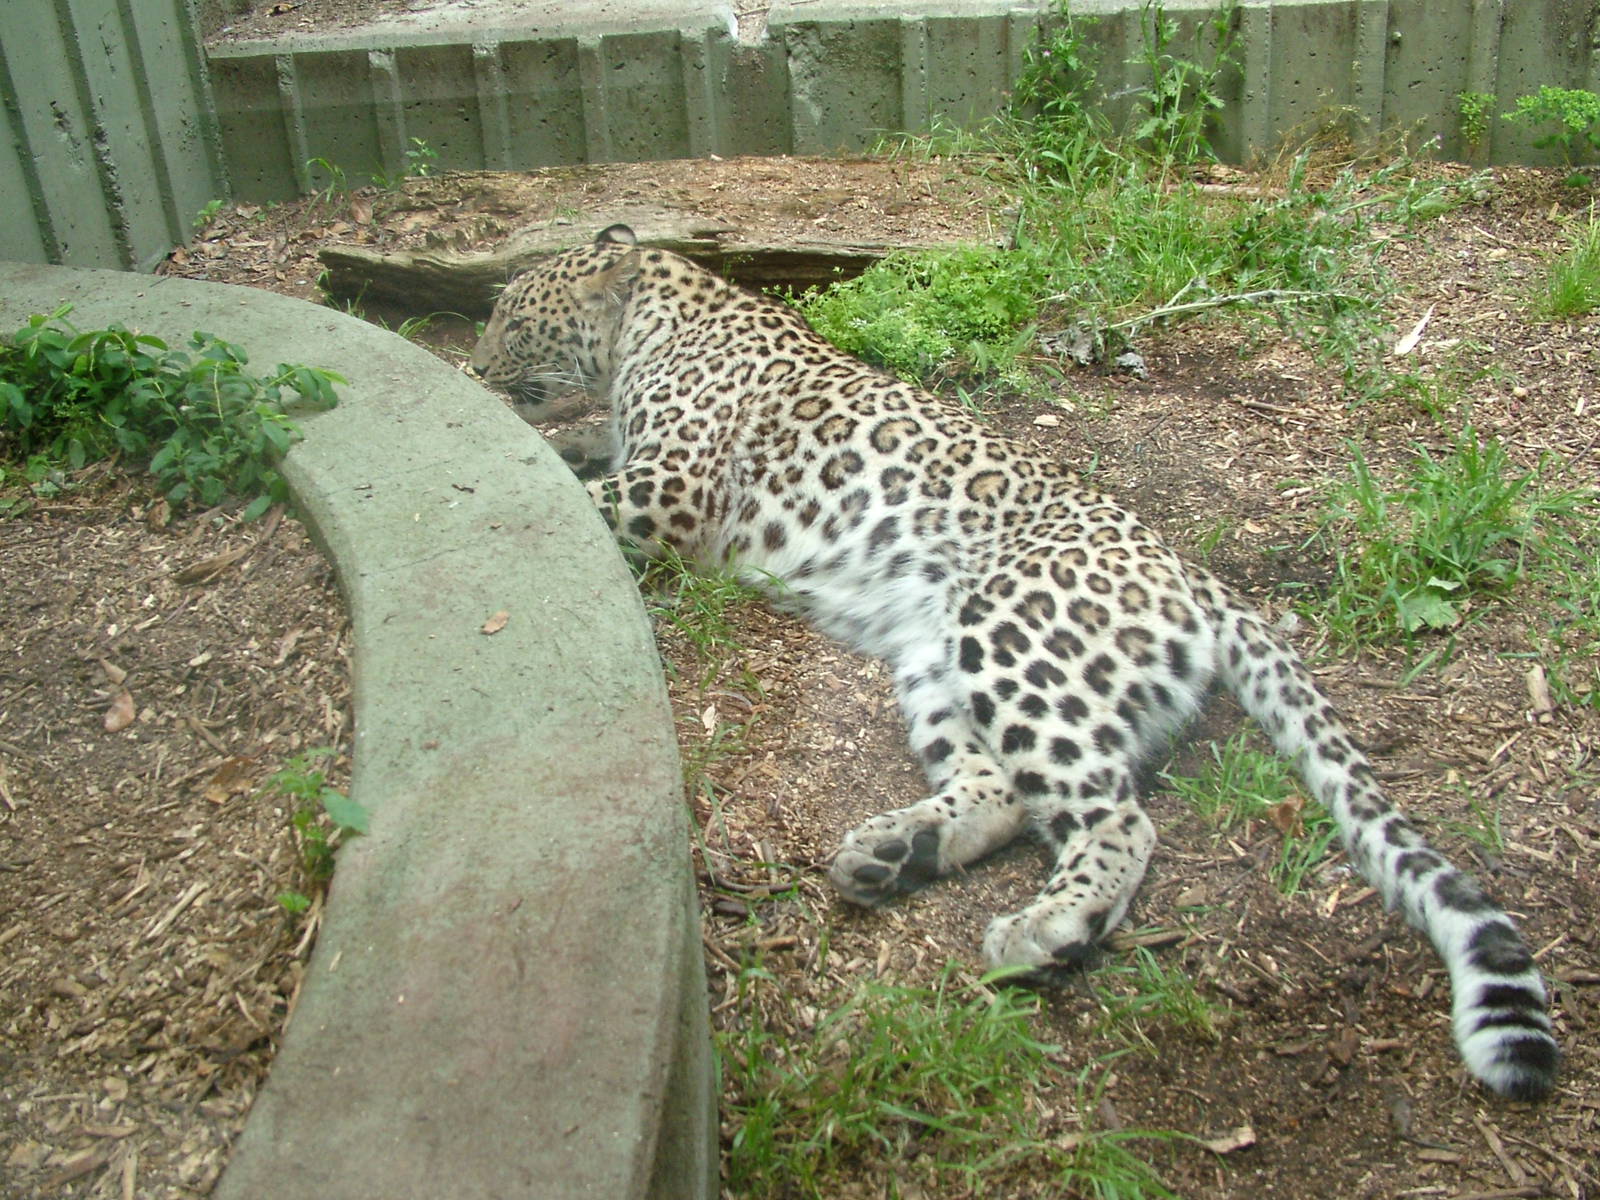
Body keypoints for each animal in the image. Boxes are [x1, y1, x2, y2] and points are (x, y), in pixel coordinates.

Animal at [470, 225, 1557, 1101]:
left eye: (512, 317)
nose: (473, 367)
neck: (656, 316)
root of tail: (1197, 575)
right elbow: (576, 452)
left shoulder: (670, 488)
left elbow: (575, 474)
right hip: (936, 658)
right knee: (1001, 788)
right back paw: (893, 853)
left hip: (1012, 635)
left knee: (1117, 817)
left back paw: (1045, 929)